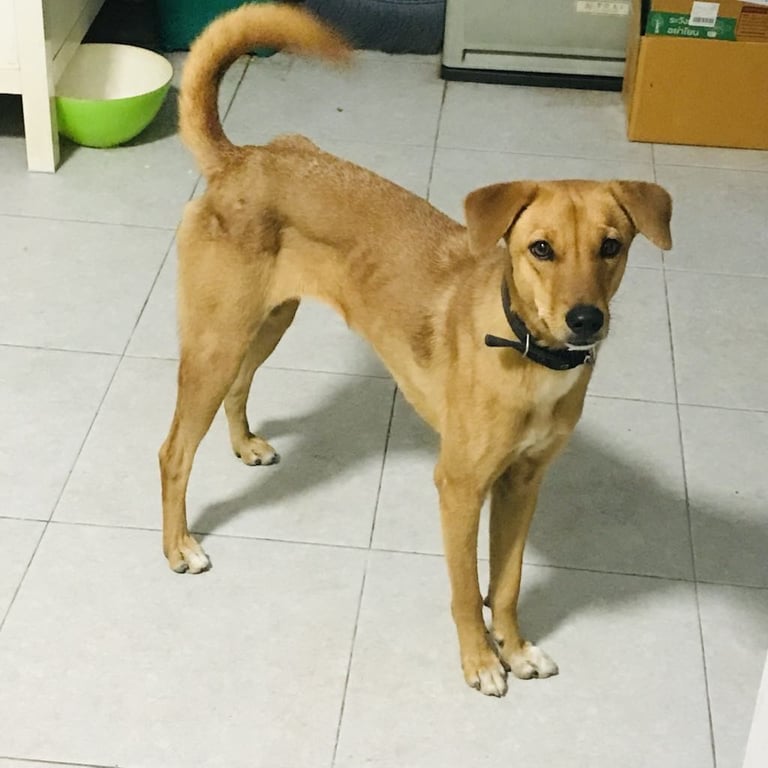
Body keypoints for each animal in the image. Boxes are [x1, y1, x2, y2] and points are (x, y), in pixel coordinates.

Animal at [159, 3, 672, 697]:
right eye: (540, 249)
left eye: (611, 246)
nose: (585, 320)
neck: (529, 358)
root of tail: (242, 158)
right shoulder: (459, 486)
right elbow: (464, 588)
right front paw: (481, 661)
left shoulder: (524, 484)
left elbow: (506, 583)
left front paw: (516, 648)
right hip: (216, 340)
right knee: (173, 452)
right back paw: (178, 546)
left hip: (266, 322)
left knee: (240, 386)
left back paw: (244, 445)